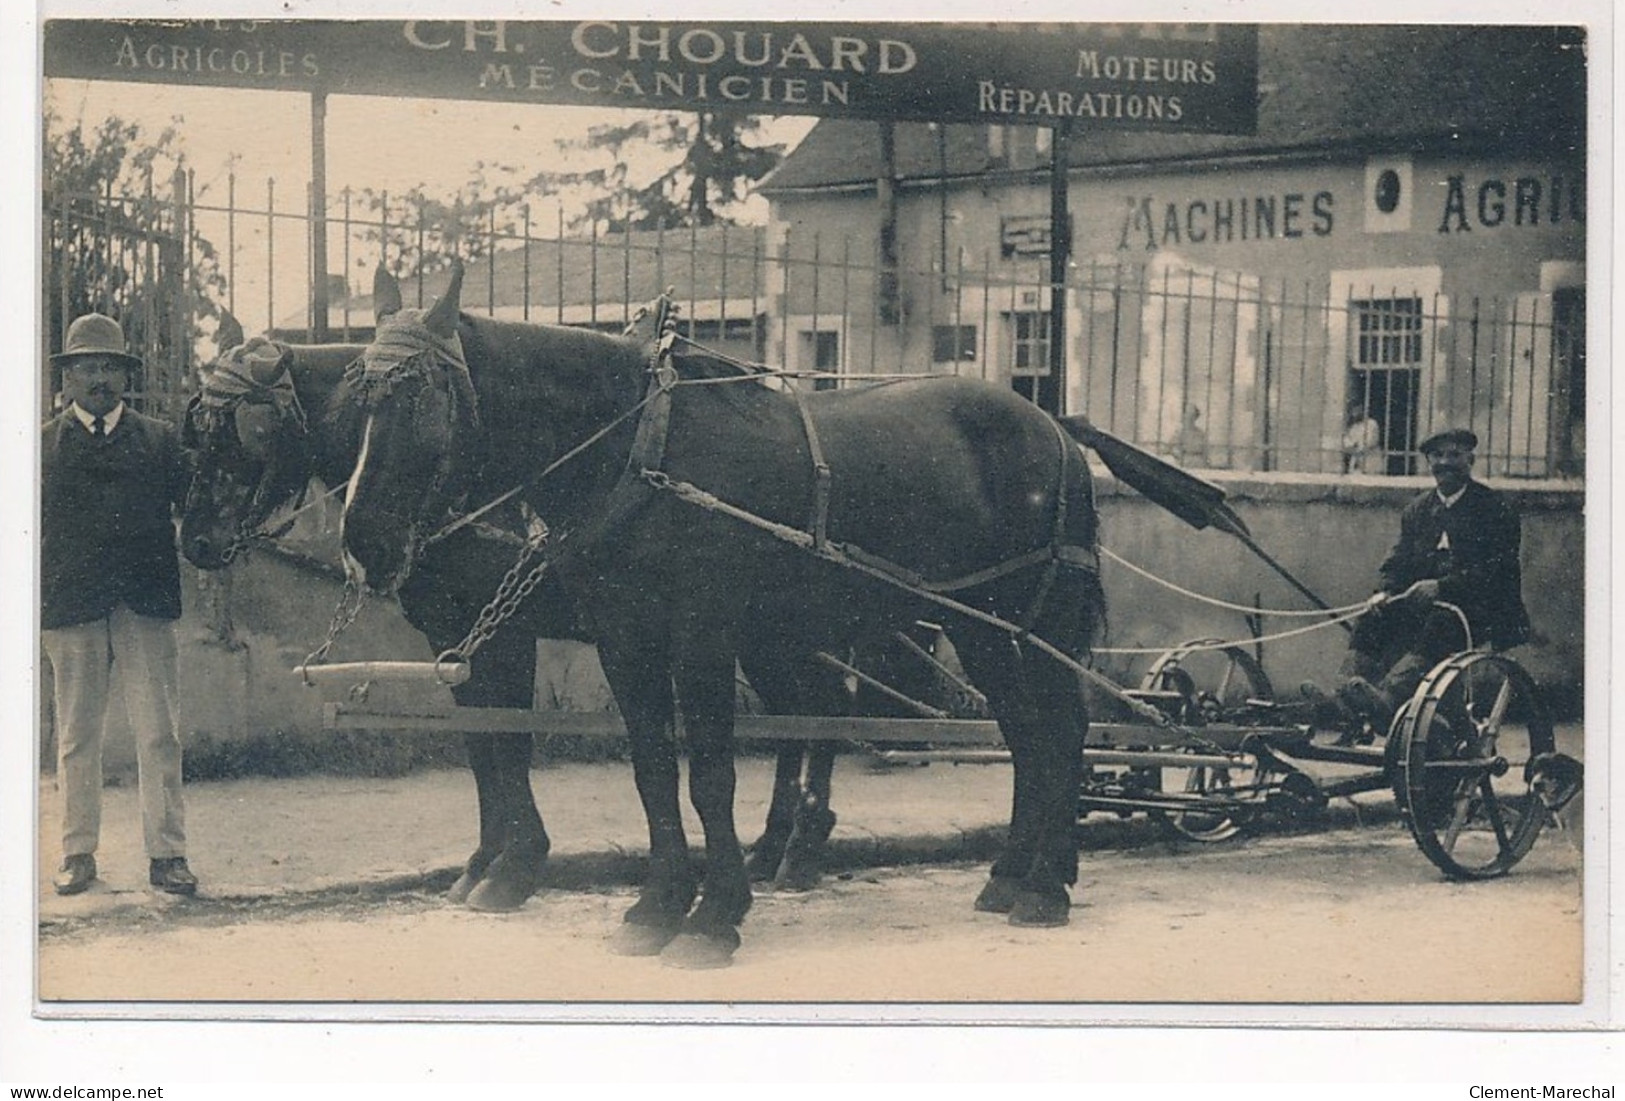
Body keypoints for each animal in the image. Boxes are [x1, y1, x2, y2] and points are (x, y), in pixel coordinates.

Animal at [177, 300, 929, 902]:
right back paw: (778, 843)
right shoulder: (453, 635)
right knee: (802, 715)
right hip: (767, 632)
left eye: (244, 432)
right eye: (198, 430)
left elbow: (508, 741)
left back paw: (800, 844)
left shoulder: (504, 631)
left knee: (818, 712)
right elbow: (481, 745)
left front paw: (516, 864)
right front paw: (484, 859)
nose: (193, 539)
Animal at [339, 263, 1105, 967]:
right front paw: (658, 904)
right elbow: (652, 772)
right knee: (1026, 733)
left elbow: (710, 777)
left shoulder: (700, 638)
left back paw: (1043, 886)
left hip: (1035, 623)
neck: (640, 450)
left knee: (1061, 730)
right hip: (981, 628)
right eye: (358, 397)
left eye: (422, 396)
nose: (364, 541)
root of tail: (1054, 424)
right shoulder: (626, 643)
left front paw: (713, 915)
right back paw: (1009, 875)